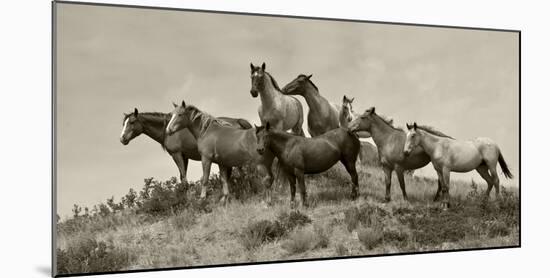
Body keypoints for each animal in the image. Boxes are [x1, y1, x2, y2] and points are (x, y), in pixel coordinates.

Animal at [119, 107, 253, 184]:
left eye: (132, 122)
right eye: (123, 123)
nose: (122, 138)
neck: (168, 130)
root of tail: (238, 121)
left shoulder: (177, 154)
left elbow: (183, 178)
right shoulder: (185, 157)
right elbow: (182, 176)